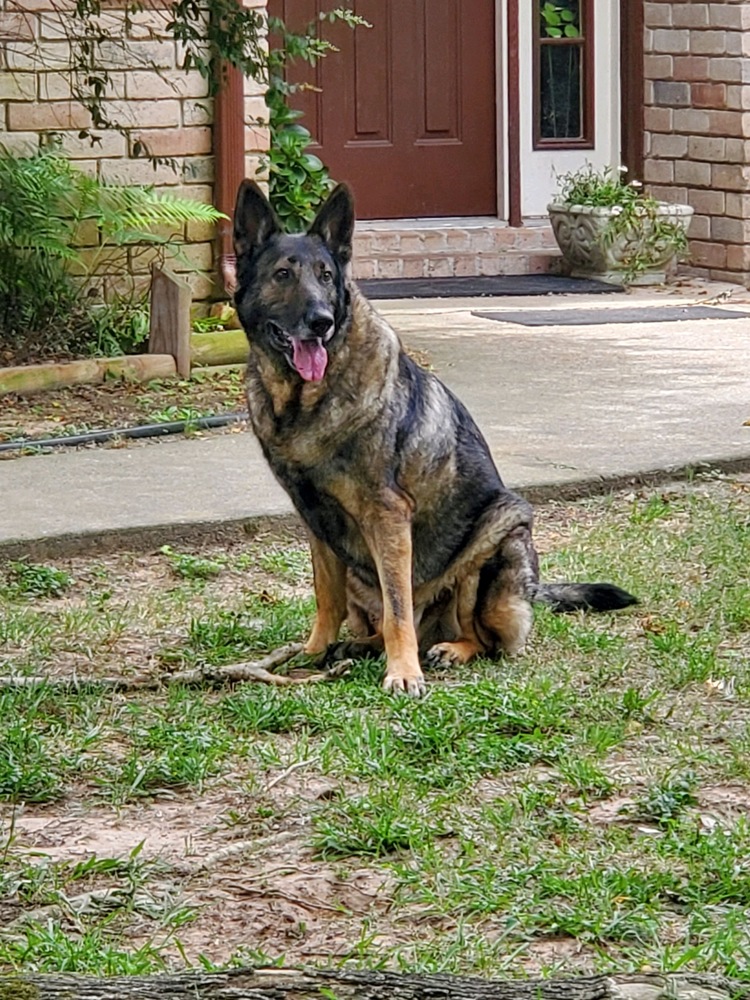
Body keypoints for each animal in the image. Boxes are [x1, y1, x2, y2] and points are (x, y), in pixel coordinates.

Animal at [232, 180, 636, 696]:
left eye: (325, 276)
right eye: (283, 274)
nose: (322, 321)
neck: (306, 401)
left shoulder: (387, 516)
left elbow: (398, 608)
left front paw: (403, 673)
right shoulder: (316, 522)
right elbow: (328, 598)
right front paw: (314, 651)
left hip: (494, 538)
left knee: (482, 638)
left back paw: (449, 650)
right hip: (367, 575)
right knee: (379, 619)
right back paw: (357, 646)